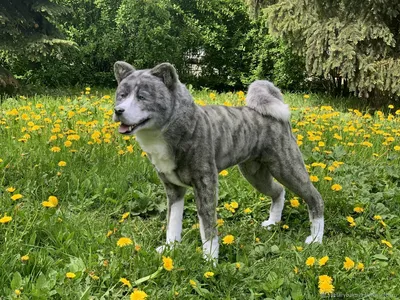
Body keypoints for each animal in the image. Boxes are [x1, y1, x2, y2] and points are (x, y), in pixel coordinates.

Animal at [111, 61, 324, 262]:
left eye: (142, 97)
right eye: (122, 95)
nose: (118, 110)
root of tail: (274, 113)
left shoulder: (205, 184)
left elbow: (207, 228)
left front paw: (210, 261)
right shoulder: (173, 189)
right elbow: (173, 223)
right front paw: (170, 249)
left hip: (287, 168)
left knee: (315, 198)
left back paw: (315, 239)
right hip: (255, 174)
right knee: (278, 191)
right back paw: (273, 223)